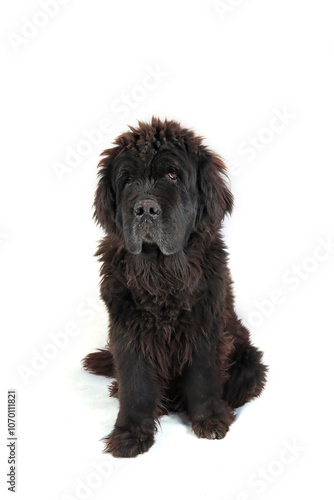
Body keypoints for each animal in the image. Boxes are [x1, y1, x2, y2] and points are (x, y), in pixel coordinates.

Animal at [82, 116, 268, 458]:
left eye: (172, 175)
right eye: (127, 180)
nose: (145, 209)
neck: (161, 273)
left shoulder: (204, 326)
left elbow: (203, 378)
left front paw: (209, 420)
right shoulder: (128, 331)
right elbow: (135, 385)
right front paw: (130, 433)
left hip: (248, 360)